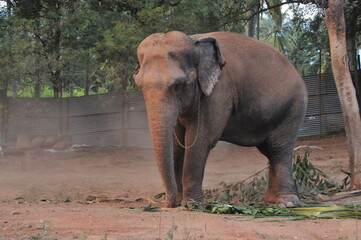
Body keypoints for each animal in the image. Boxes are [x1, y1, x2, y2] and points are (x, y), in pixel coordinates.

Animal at [134, 31, 308, 207]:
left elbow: (200, 139)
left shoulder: (219, 91)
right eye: (140, 86)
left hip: (294, 107)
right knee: (269, 151)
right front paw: (180, 201)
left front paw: (192, 205)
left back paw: (287, 202)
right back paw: (270, 200)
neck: (194, 40)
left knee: (278, 148)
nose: (166, 204)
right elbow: (178, 143)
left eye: (179, 85)